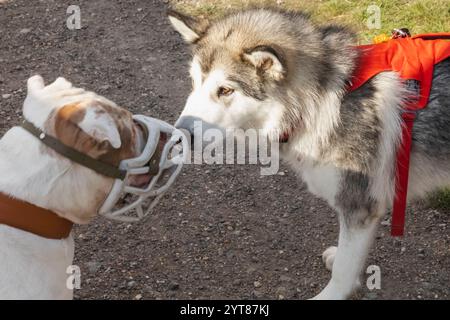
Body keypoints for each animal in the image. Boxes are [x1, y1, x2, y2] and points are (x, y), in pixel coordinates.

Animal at [168, 7, 450, 298]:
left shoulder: (359, 205)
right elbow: (348, 257)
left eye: (225, 90)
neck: (321, 102)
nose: (178, 136)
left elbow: (344, 272)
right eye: (194, 82)